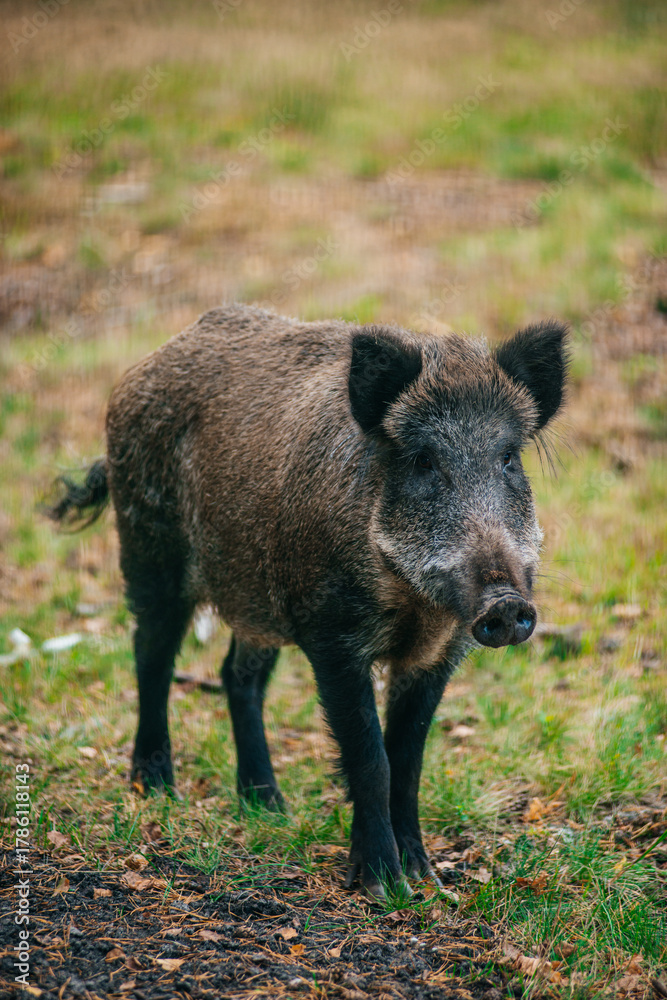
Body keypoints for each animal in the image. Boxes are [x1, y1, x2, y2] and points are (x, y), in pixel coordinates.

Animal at [49, 304, 568, 900]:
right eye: (422, 460)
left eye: (508, 458)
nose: (504, 604)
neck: (413, 605)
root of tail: (144, 367)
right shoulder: (332, 637)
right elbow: (371, 758)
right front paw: (382, 886)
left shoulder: (440, 652)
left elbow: (408, 759)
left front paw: (423, 876)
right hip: (148, 550)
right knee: (151, 658)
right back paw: (155, 789)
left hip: (255, 598)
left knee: (237, 675)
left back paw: (268, 805)